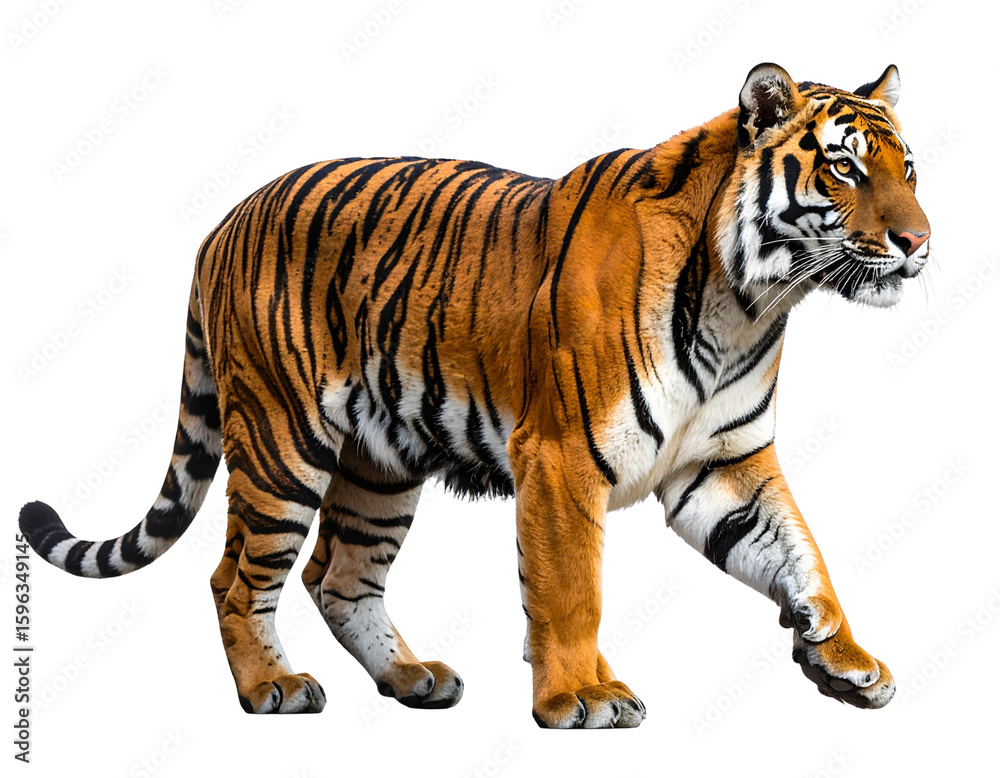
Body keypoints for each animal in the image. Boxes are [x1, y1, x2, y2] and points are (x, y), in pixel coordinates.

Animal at [19, 63, 930, 728]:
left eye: (908, 168)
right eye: (845, 166)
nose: (920, 240)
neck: (749, 303)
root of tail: (224, 221)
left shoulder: (723, 465)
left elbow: (801, 552)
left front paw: (843, 657)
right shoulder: (561, 457)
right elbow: (571, 589)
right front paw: (580, 698)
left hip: (379, 467)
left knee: (338, 574)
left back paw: (411, 678)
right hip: (283, 445)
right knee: (235, 575)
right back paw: (270, 688)